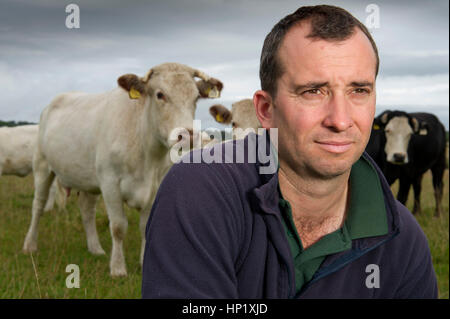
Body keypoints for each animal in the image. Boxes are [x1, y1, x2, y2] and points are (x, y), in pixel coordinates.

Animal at [22, 63, 223, 278]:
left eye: (195, 97)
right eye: (160, 94)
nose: (188, 136)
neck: (148, 156)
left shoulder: (155, 187)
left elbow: (145, 226)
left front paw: (144, 263)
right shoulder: (110, 182)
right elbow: (118, 227)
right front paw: (118, 268)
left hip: (88, 177)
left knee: (87, 210)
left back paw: (95, 248)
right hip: (42, 165)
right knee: (38, 205)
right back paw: (30, 245)